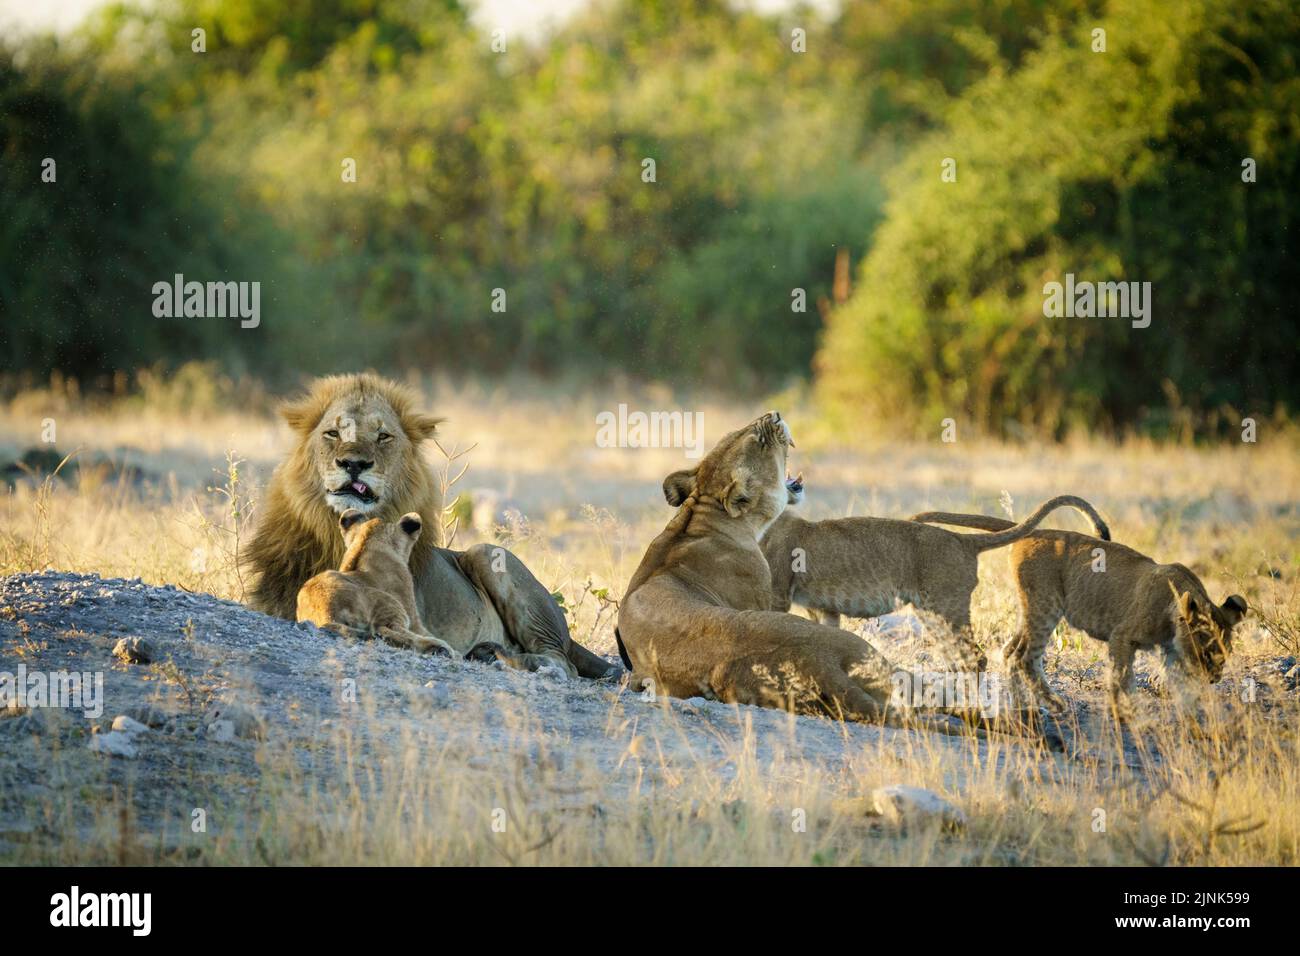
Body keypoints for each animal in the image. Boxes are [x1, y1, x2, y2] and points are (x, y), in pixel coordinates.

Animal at [296, 509, 455, 656]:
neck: (368, 543)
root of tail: (327, 612)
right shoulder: (412, 616)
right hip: (390, 604)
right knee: (386, 630)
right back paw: (440, 648)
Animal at [908, 509, 1248, 718]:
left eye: (1224, 653)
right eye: (1206, 651)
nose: (1215, 679)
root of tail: (1037, 531)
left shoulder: (1171, 652)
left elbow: (1176, 686)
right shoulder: (1122, 637)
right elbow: (1121, 680)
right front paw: (1123, 715)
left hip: (1032, 608)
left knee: (1010, 651)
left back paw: (1024, 707)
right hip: (1046, 606)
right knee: (1024, 657)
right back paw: (1051, 704)